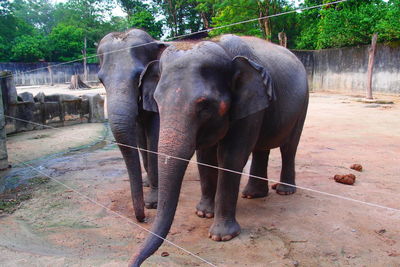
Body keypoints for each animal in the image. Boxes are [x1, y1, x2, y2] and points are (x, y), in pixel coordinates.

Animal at [97, 28, 166, 222]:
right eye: (101, 80)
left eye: (138, 77)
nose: (142, 218)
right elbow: (139, 136)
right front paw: (148, 188)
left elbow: (154, 136)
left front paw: (153, 203)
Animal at [131, 34, 310, 266]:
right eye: (156, 101)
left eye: (205, 105)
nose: (135, 262)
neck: (221, 47)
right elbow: (205, 156)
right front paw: (203, 213)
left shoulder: (249, 102)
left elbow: (231, 157)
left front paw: (222, 236)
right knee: (261, 148)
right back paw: (253, 194)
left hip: (303, 102)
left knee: (289, 146)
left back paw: (284, 191)